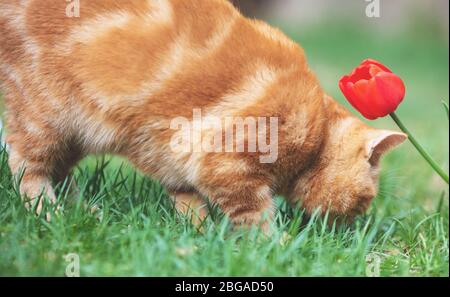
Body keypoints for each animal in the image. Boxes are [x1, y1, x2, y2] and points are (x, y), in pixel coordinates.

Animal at [0, 0, 406, 229]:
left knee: (60, 172)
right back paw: (50, 215)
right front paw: (270, 248)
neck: (315, 130)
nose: (356, 224)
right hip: (47, 118)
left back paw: (84, 212)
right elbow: (255, 217)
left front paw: (198, 237)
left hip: (75, 135)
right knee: (25, 166)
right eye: (367, 198)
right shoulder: (228, 163)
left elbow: (190, 205)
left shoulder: (178, 161)